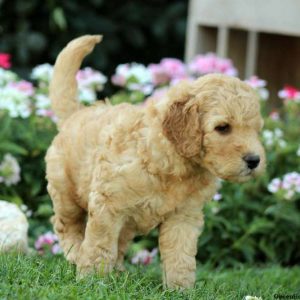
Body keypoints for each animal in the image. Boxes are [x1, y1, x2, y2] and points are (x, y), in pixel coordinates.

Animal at [45, 35, 264, 288]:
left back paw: (119, 273)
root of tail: (75, 114)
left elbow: (180, 256)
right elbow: (99, 246)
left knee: (119, 244)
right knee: (65, 224)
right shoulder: (107, 205)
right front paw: (92, 279)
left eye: (256, 130)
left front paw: (180, 289)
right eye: (223, 128)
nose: (254, 160)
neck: (173, 162)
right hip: (65, 192)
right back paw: (76, 253)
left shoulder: (183, 216)